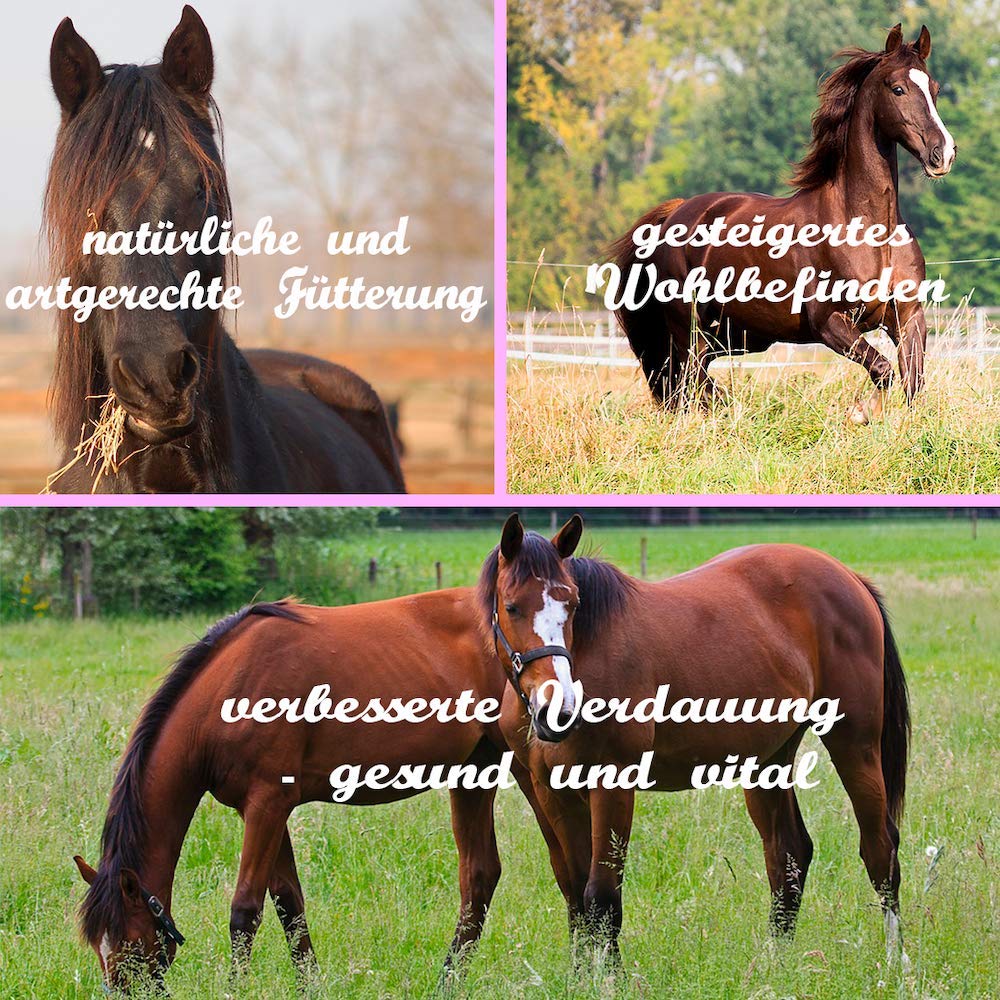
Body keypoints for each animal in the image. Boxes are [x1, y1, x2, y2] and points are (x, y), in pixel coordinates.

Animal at [72, 576, 587, 992]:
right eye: (98, 949)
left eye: (129, 945)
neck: (228, 688)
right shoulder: (265, 809)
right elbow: (289, 905)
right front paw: (310, 985)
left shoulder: (266, 805)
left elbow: (245, 911)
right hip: (474, 773)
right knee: (481, 876)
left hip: (529, 773)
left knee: (567, 865)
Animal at [484, 514, 911, 968]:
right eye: (512, 606)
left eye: (573, 605)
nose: (560, 709)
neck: (588, 651)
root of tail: (849, 577)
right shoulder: (551, 792)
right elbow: (575, 894)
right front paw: (581, 975)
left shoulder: (612, 783)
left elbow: (601, 895)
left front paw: (608, 978)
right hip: (768, 761)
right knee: (789, 853)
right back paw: (774, 965)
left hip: (854, 745)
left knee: (880, 848)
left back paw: (895, 962)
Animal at [609, 25, 955, 424]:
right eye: (898, 88)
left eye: (934, 88)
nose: (943, 153)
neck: (869, 232)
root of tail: (676, 214)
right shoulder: (828, 322)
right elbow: (882, 370)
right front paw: (861, 413)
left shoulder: (908, 318)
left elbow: (913, 382)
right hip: (688, 330)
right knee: (689, 383)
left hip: (726, 336)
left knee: (692, 384)